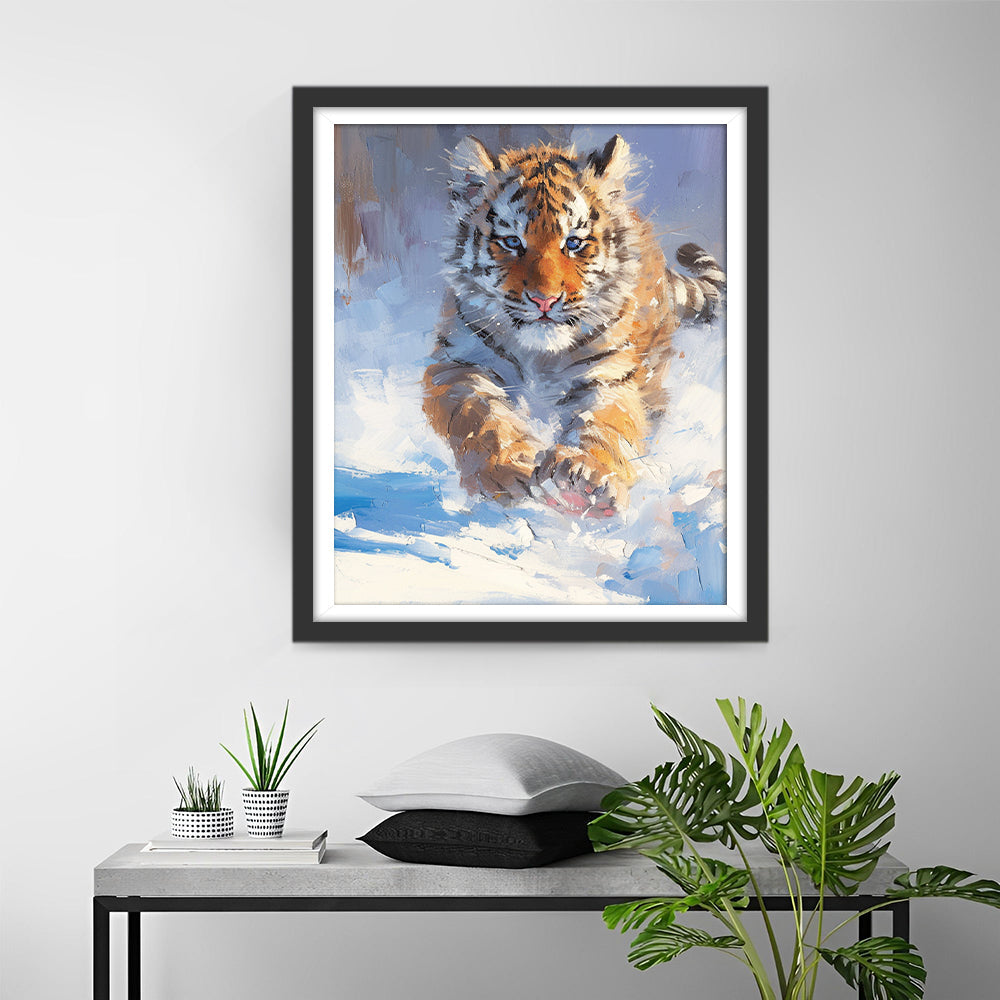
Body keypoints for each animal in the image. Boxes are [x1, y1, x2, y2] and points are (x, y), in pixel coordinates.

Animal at [422, 133, 725, 518]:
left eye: (574, 243)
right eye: (512, 242)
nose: (545, 300)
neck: (539, 354)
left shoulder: (609, 375)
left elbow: (606, 424)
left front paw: (587, 476)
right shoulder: (459, 365)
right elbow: (483, 418)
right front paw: (509, 468)